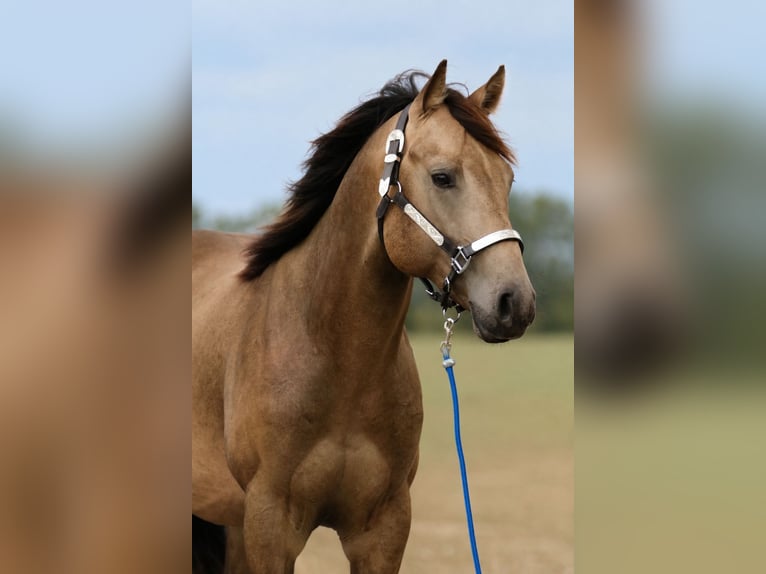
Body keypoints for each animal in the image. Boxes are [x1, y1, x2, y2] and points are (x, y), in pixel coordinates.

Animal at [192, 60, 535, 573]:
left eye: (507, 180)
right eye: (442, 177)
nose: (515, 303)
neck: (340, 362)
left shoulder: (383, 529)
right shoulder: (270, 527)